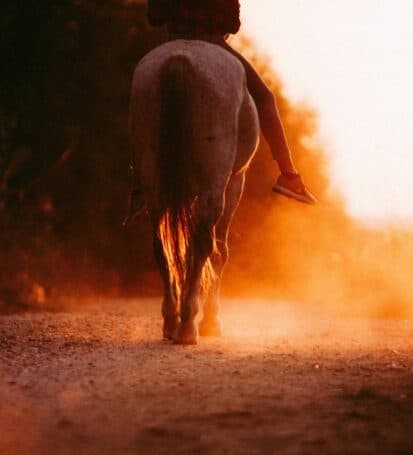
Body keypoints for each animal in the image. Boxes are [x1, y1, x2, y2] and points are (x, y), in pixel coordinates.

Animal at [130, 40, 258, 346]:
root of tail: (179, 60)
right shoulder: (234, 183)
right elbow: (219, 252)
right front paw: (212, 321)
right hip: (215, 185)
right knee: (203, 244)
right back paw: (188, 325)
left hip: (155, 183)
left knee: (160, 244)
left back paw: (171, 321)